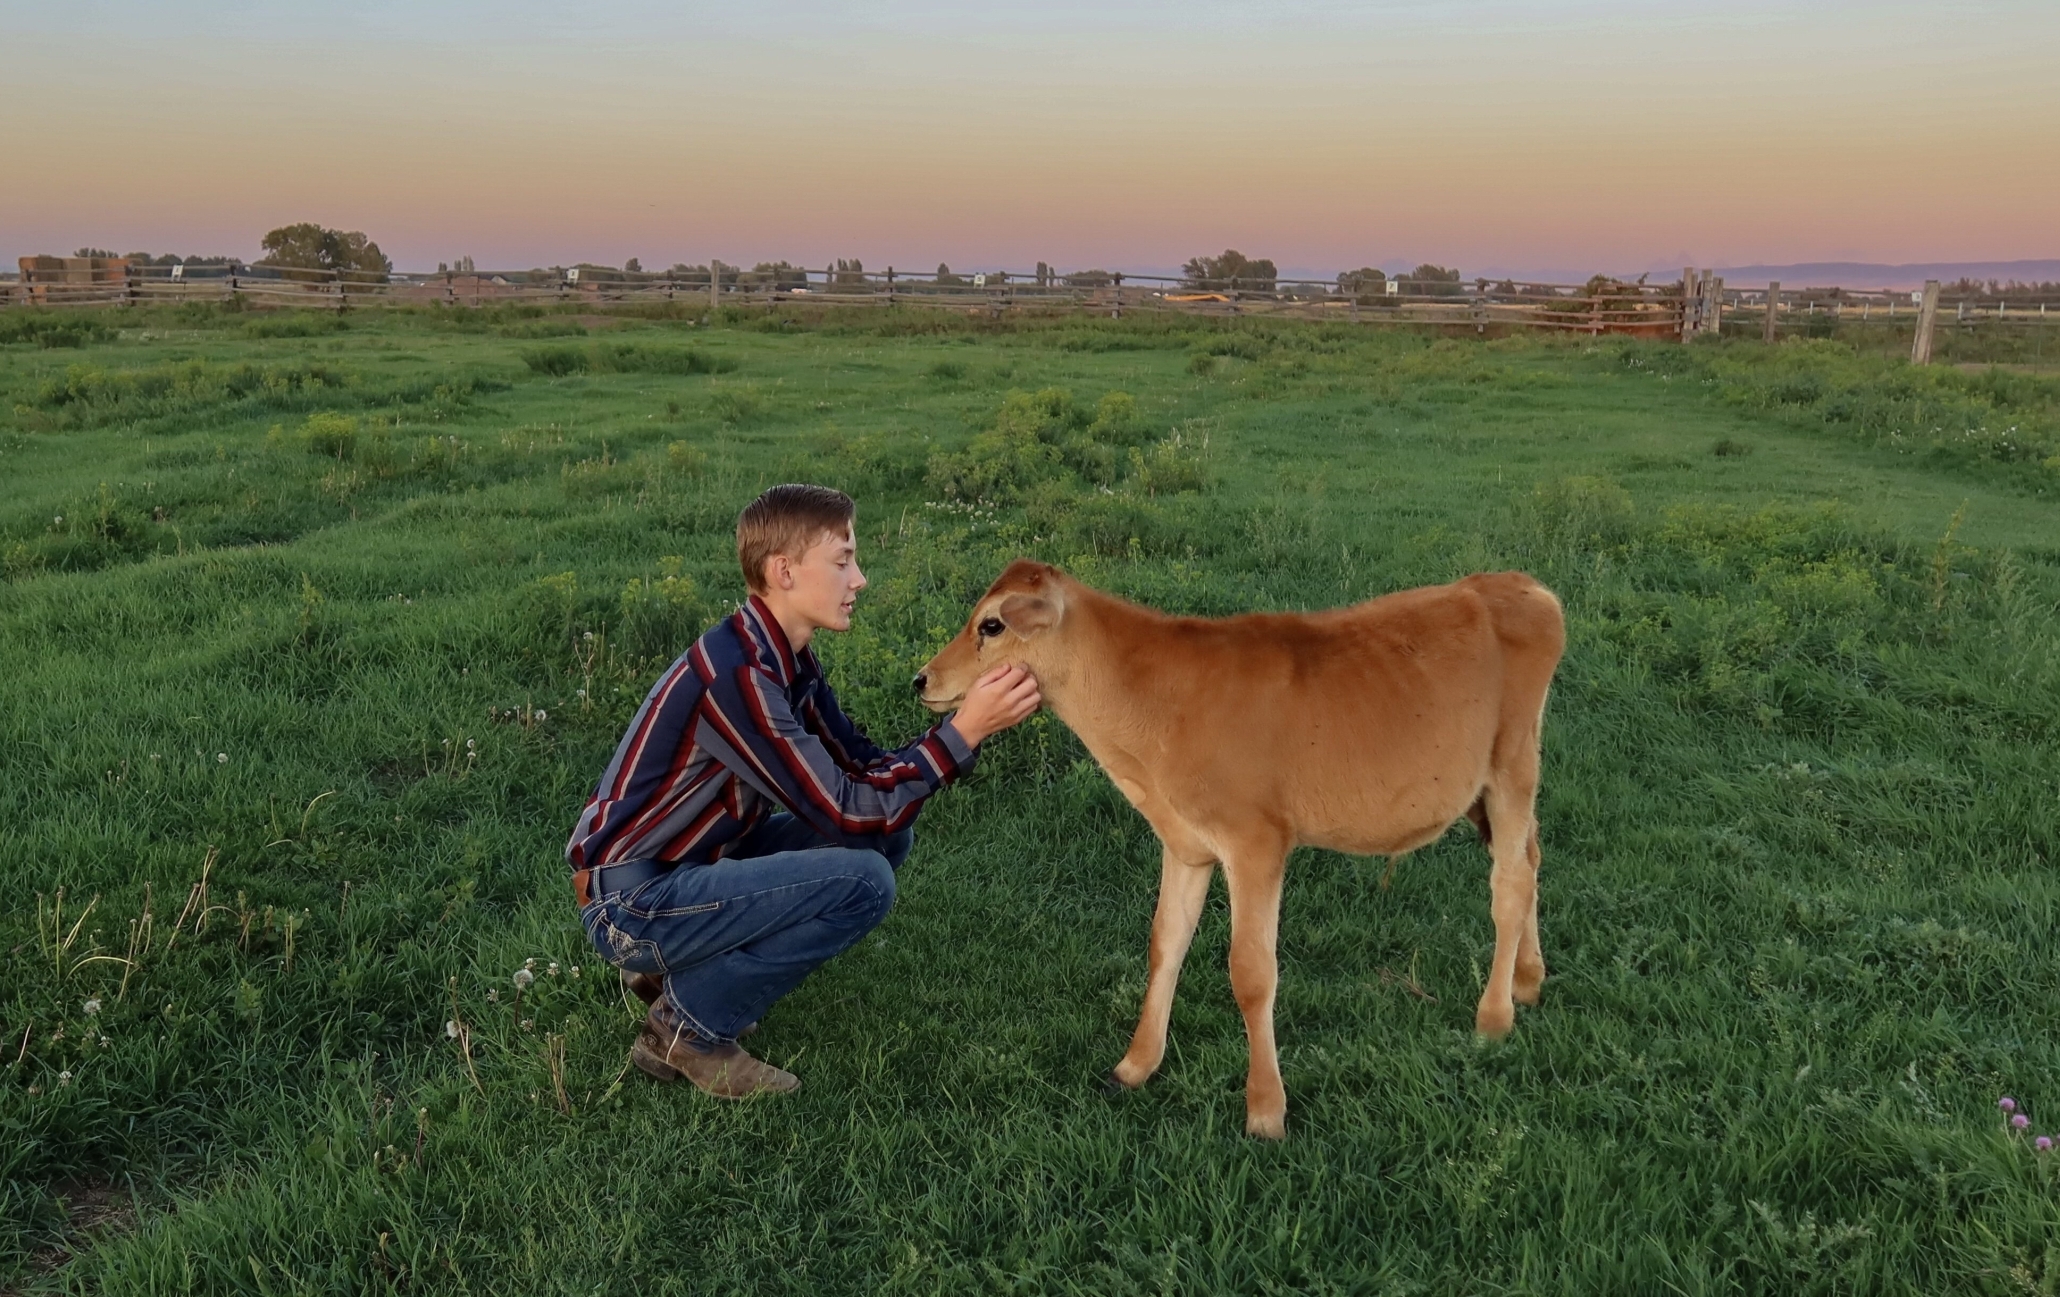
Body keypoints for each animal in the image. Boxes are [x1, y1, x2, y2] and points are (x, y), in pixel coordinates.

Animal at [914, 559, 1557, 1136]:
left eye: (991, 625)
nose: (922, 679)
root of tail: (1517, 585)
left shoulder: (1256, 844)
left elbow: (1251, 972)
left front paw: (1265, 1110)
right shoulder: (1186, 844)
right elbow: (1164, 943)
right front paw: (1135, 1064)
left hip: (1511, 766)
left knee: (1510, 883)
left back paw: (1495, 1015)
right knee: (1531, 858)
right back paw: (1528, 979)